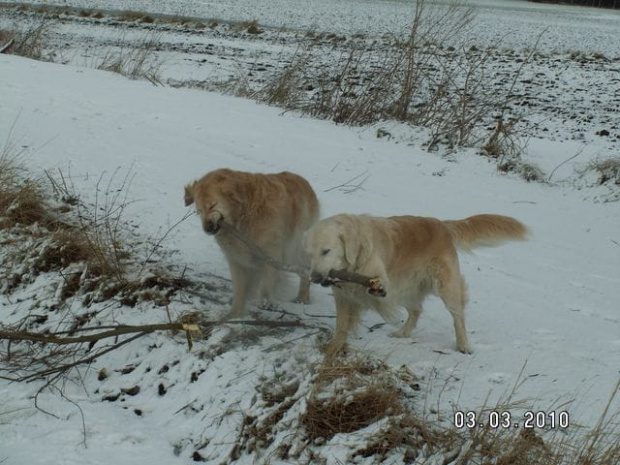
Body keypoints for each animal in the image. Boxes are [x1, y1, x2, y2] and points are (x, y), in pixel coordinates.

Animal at [184, 169, 320, 318]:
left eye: (212, 205)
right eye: (199, 210)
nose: (207, 229)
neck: (244, 214)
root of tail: (304, 181)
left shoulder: (271, 252)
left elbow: (267, 281)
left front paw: (266, 301)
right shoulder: (236, 258)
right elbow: (239, 288)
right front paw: (234, 313)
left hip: (292, 248)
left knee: (305, 267)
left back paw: (303, 297)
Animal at [306, 213, 528, 352]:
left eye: (326, 251)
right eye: (310, 253)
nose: (315, 278)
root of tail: (441, 224)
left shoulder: (379, 281)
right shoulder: (342, 295)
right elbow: (342, 324)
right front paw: (334, 347)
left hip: (445, 286)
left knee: (458, 315)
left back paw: (463, 345)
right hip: (406, 287)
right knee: (416, 310)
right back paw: (403, 333)